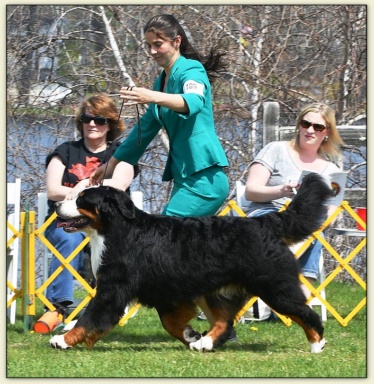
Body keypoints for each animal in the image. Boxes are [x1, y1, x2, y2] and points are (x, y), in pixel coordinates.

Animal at [49, 172, 334, 352]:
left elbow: (91, 318)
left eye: (80, 200)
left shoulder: (113, 289)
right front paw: (190, 335)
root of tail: (264, 223)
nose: (55, 207)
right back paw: (204, 343)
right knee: (223, 322)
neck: (117, 231)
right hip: (215, 291)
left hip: (275, 288)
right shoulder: (165, 292)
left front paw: (63, 340)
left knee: (305, 313)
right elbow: (171, 323)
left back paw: (316, 344)